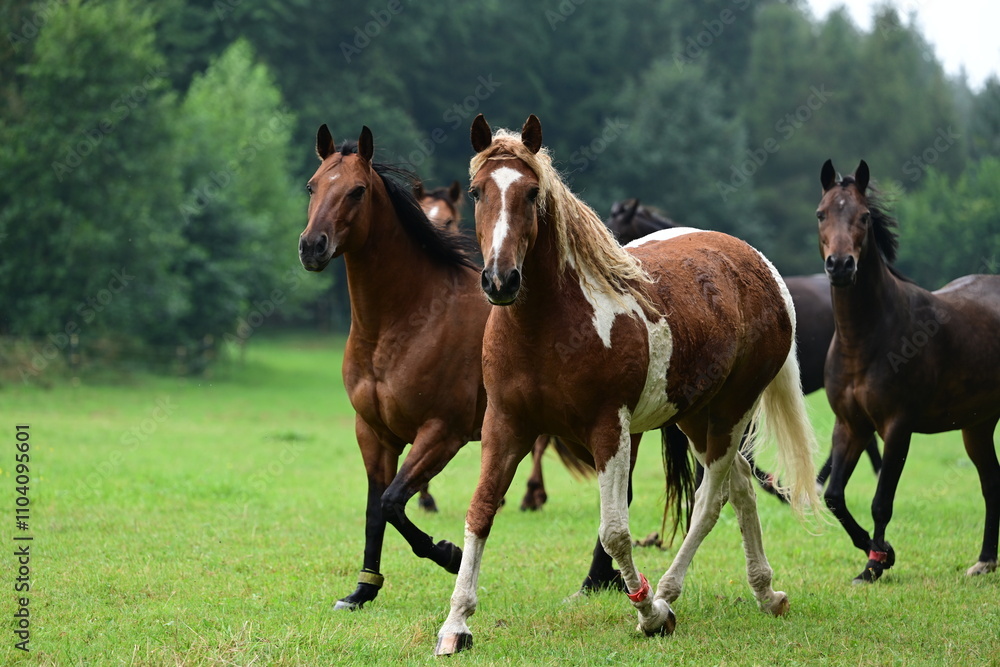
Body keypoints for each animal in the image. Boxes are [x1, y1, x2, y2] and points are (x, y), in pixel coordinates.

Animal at [297, 124, 604, 610]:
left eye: (357, 191)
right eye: (312, 186)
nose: (312, 246)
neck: (405, 320)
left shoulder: (442, 433)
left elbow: (392, 502)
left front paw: (448, 553)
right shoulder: (374, 433)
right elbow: (375, 508)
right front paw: (364, 588)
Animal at [434, 114, 821, 654]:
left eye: (531, 192)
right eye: (476, 191)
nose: (500, 280)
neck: (550, 326)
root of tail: (762, 268)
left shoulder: (610, 430)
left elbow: (615, 532)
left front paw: (649, 614)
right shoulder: (506, 424)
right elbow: (481, 510)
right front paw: (456, 625)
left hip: (731, 411)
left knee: (711, 499)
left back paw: (667, 594)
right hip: (694, 416)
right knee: (740, 485)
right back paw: (766, 593)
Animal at [816, 159, 1000, 582]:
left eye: (865, 216)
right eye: (821, 213)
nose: (840, 266)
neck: (866, 338)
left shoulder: (898, 428)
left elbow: (881, 501)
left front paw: (875, 562)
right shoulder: (850, 426)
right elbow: (834, 497)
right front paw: (878, 551)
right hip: (978, 427)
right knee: (991, 483)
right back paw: (984, 561)